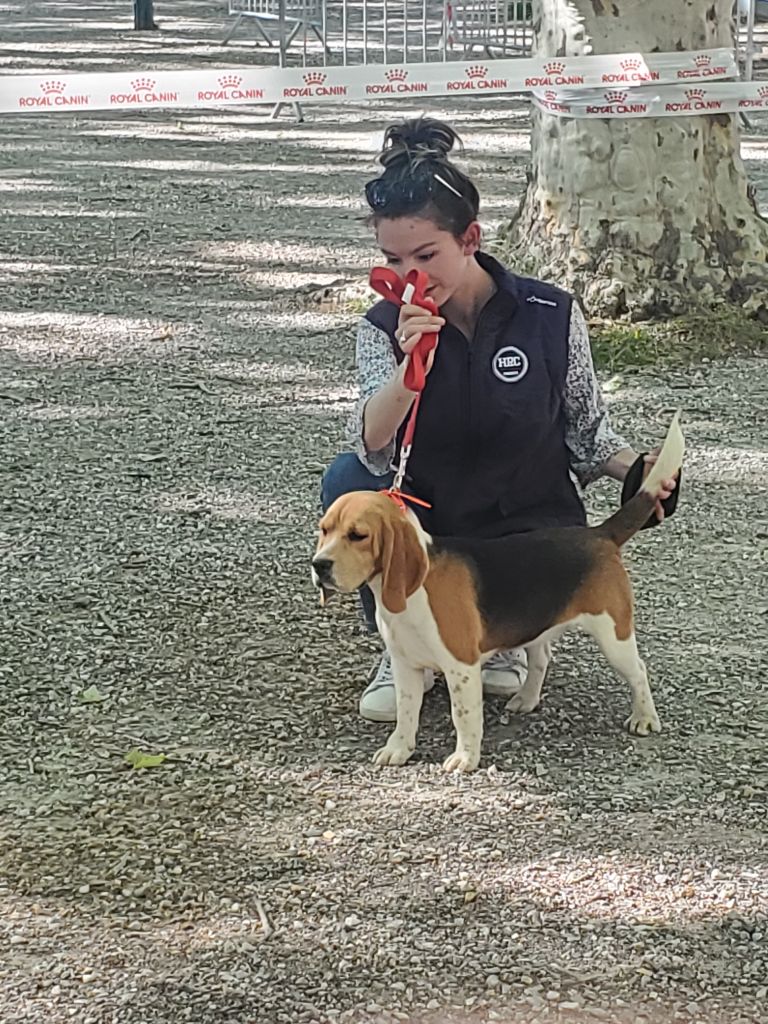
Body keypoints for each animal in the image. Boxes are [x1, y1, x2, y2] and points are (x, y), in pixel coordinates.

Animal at [313, 411, 684, 770]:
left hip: (613, 635)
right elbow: (406, 714)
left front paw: (465, 758)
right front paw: (399, 750)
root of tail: (600, 534)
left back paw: (644, 717)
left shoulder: (461, 667)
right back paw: (527, 699)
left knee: (638, 671)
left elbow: (463, 716)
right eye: (324, 529)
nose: (319, 566)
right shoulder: (406, 666)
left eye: (358, 535)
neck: (413, 594)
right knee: (541, 658)